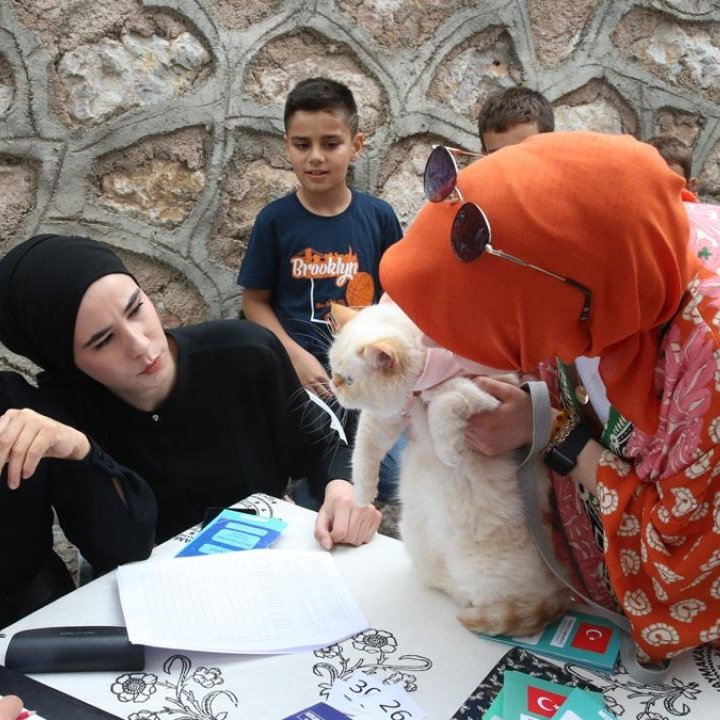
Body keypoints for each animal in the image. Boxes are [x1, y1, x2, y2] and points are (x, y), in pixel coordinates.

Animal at [330, 300, 572, 640]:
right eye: (333, 371)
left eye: (349, 380)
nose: (333, 385)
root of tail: (561, 587)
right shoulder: (389, 418)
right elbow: (364, 449)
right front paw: (362, 495)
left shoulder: (490, 397)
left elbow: (445, 403)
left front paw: (449, 451)